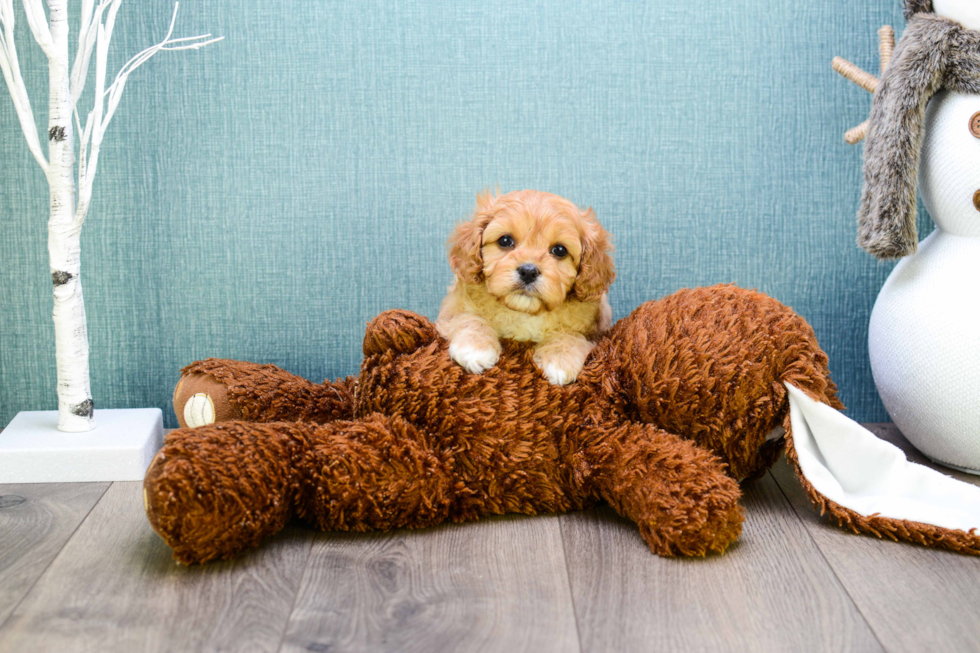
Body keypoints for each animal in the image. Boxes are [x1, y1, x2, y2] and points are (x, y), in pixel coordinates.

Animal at [440, 188, 616, 384]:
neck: (525, 312)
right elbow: (468, 317)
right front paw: (475, 347)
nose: (528, 271)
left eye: (560, 250)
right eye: (505, 240)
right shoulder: (452, 307)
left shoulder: (594, 331)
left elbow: (571, 334)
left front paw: (560, 359)